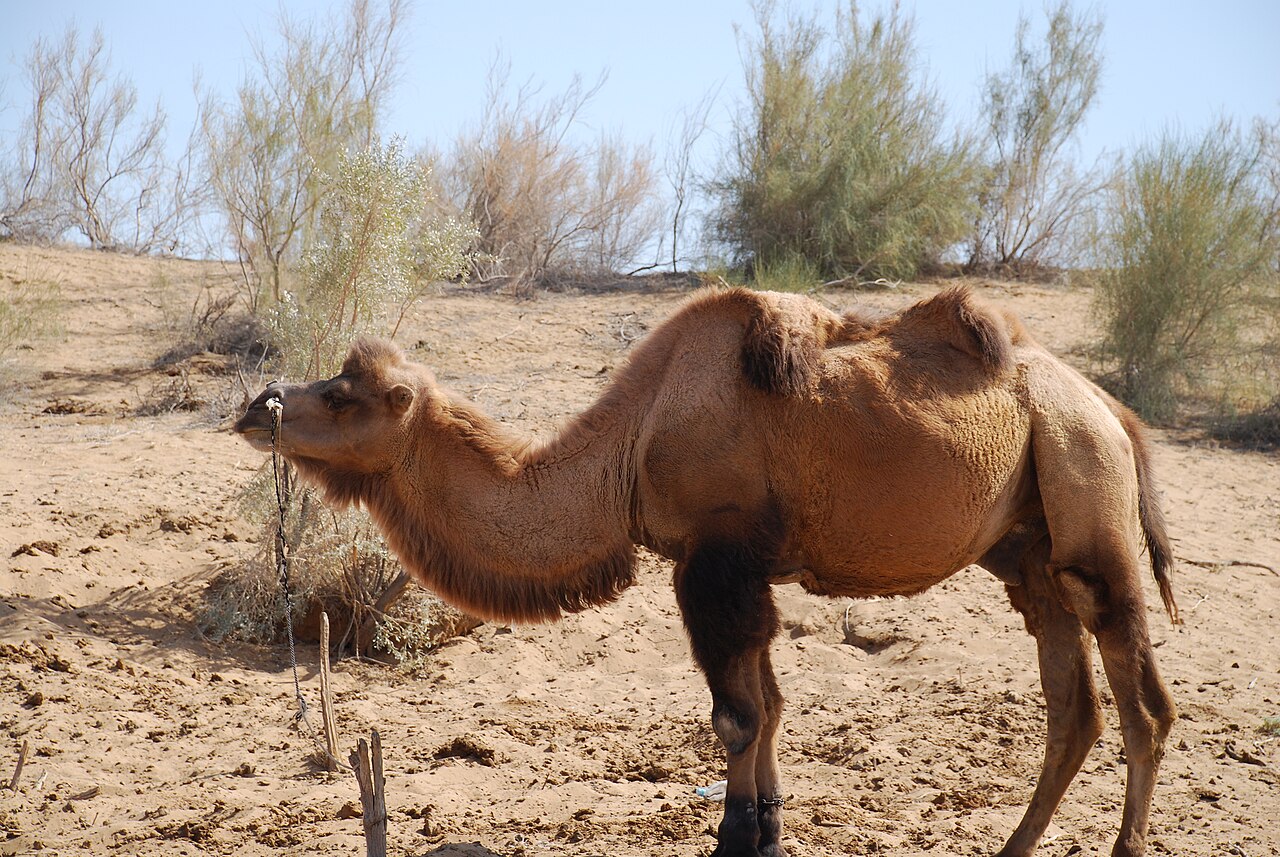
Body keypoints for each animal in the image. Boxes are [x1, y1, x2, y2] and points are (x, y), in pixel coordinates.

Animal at [234, 285, 1179, 857]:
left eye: (343, 396)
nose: (256, 404)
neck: (632, 442)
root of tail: (1114, 411)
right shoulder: (742, 571)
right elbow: (770, 704)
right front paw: (767, 828)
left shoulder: (713, 561)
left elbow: (736, 714)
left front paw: (733, 835)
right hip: (1026, 547)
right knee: (1073, 705)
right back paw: (1014, 845)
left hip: (1085, 499)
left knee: (1142, 702)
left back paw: (1125, 841)